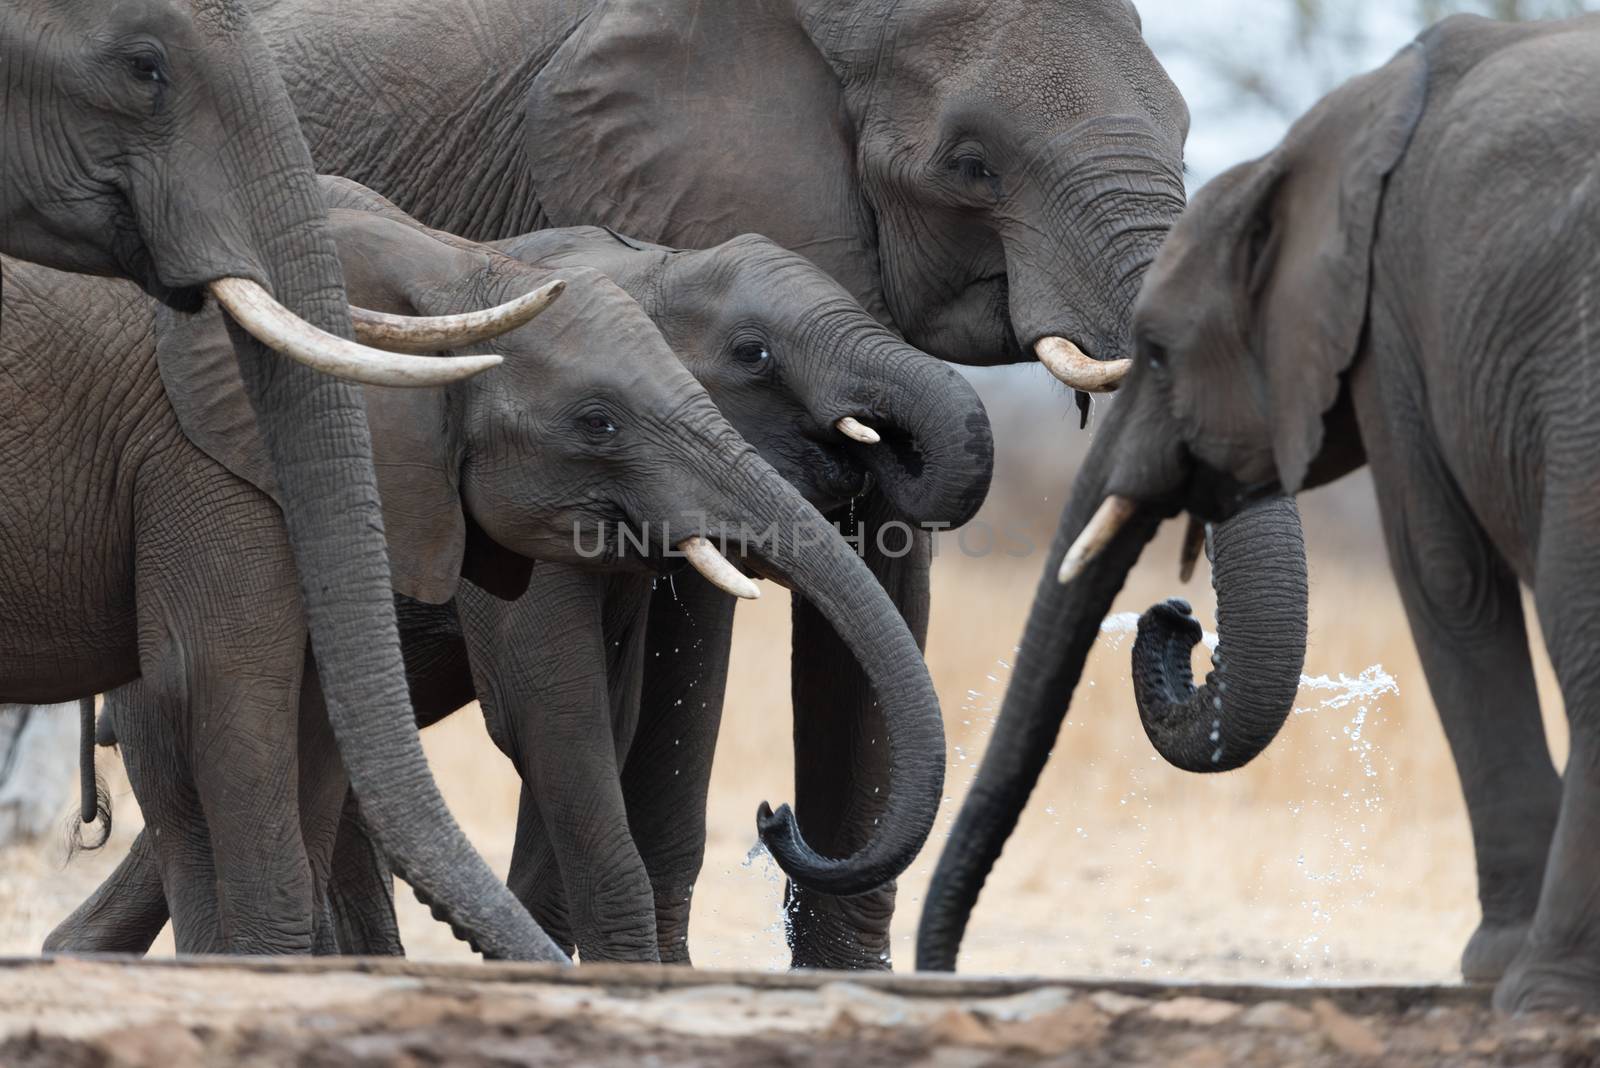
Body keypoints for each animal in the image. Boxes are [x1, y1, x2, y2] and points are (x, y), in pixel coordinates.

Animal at [915, 14, 1600, 1016]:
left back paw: (1544, 993)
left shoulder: (1396, 321)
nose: (1176, 617)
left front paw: (1490, 970)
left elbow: (1444, 576)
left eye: (1159, 352)